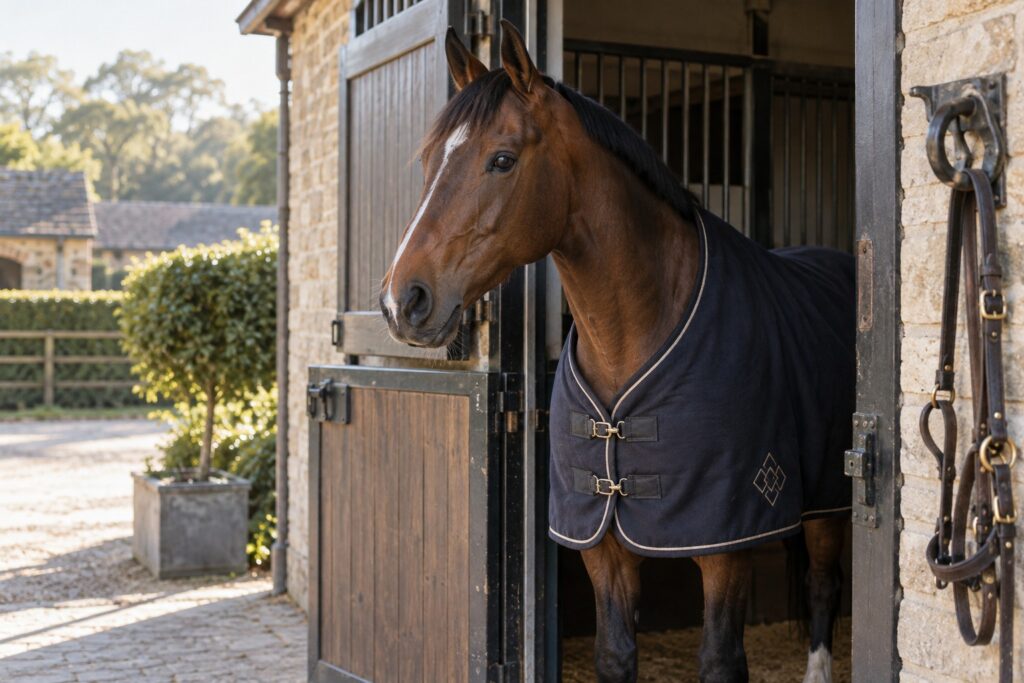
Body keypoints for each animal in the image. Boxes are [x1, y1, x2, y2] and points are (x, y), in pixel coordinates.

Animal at [380, 21, 853, 683]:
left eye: (502, 159)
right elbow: (615, 654)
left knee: (822, 586)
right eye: (428, 161)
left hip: (830, 502)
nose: (403, 301)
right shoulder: (600, 541)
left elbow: (721, 660)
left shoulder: (724, 543)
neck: (631, 335)